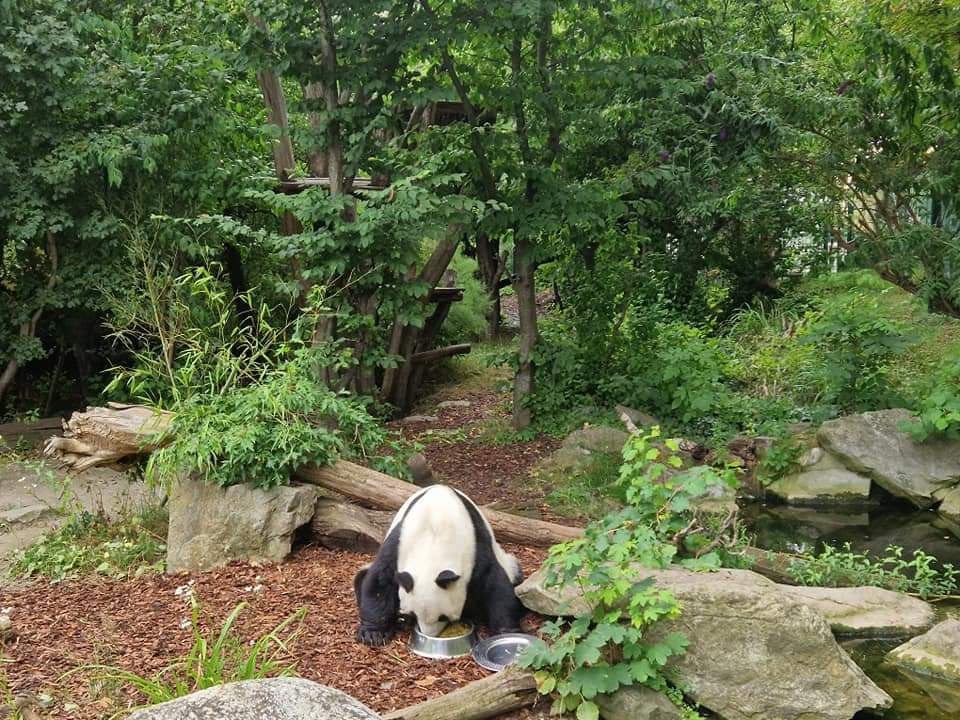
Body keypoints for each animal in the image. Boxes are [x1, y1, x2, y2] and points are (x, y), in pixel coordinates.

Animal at [353, 484, 524, 646]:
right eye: (414, 614)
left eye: (443, 617)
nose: (429, 635)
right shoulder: (398, 543)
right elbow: (380, 581)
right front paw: (374, 634)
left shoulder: (476, 545)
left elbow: (494, 583)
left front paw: (508, 631)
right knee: (361, 578)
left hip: (509, 563)